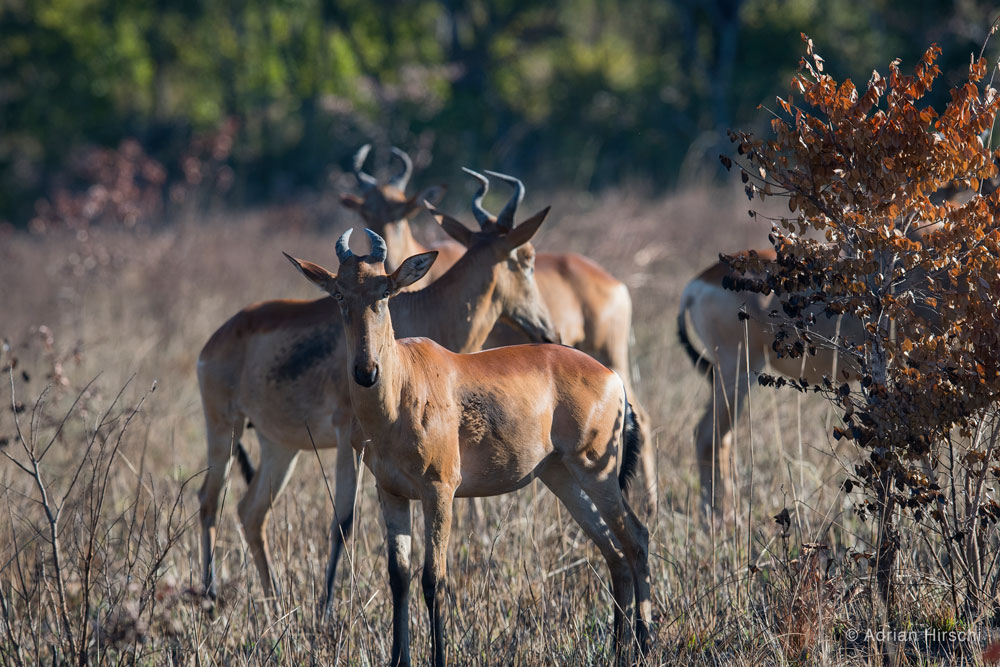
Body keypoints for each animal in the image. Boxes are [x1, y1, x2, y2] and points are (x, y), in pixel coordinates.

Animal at [193, 176, 556, 604]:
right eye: (526, 257)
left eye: (385, 291)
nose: (546, 330)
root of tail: (215, 339)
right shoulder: (346, 434)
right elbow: (343, 519)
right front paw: (327, 606)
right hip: (224, 427)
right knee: (209, 501)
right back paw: (210, 596)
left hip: (279, 445)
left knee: (251, 512)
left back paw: (275, 597)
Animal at [286, 231, 652, 667]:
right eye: (340, 293)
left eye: (385, 291)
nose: (365, 371)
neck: (406, 379)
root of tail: (611, 376)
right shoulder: (391, 493)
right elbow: (399, 577)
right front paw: (398, 659)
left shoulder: (440, 490)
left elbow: (434, 579)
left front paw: (439, 658)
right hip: (561, 476)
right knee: (613, 552)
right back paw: (618, 649)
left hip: (597, 470)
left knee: (636, 538)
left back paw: (646, 642)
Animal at [342, 146, 656, 520]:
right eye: (365, 210)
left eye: (403, 210)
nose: (548, 331)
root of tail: (615, 282)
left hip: (612, 357)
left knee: (642, 417)